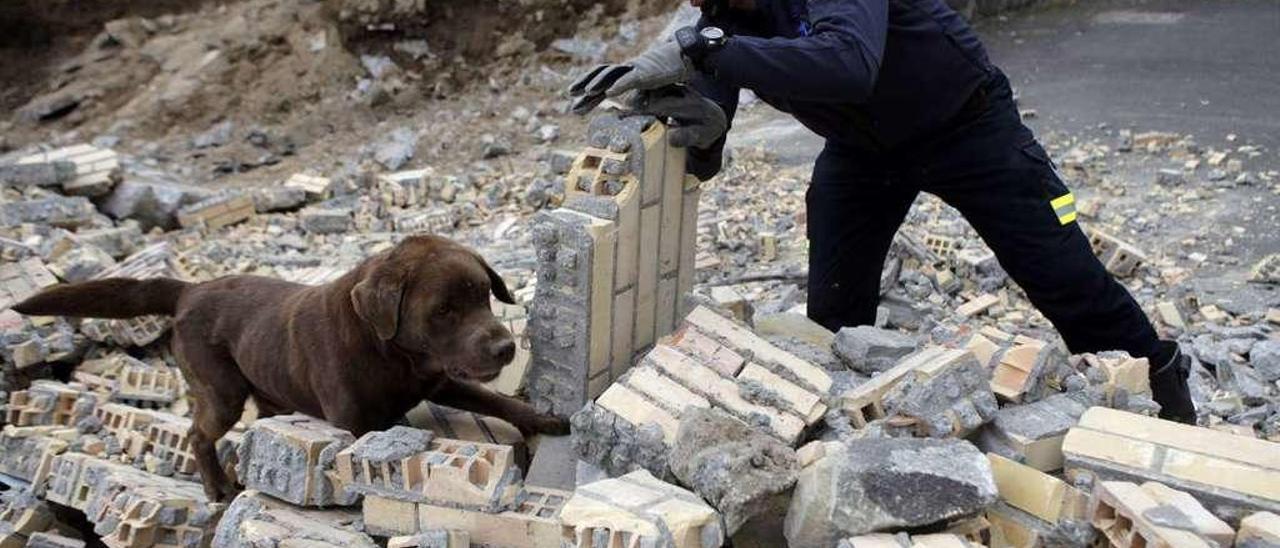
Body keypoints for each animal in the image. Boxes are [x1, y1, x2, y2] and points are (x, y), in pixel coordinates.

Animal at [13, 235, 565, 501]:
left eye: (484, 294)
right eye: (444, 311)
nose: (505, 348)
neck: (390, 352)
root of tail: (191, 289)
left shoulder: (442, 379)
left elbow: (497, 401)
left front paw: (547, 419)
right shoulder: (356, 421)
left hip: (268, 390)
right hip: (220, 392)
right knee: (197, 434)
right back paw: (217, 487)